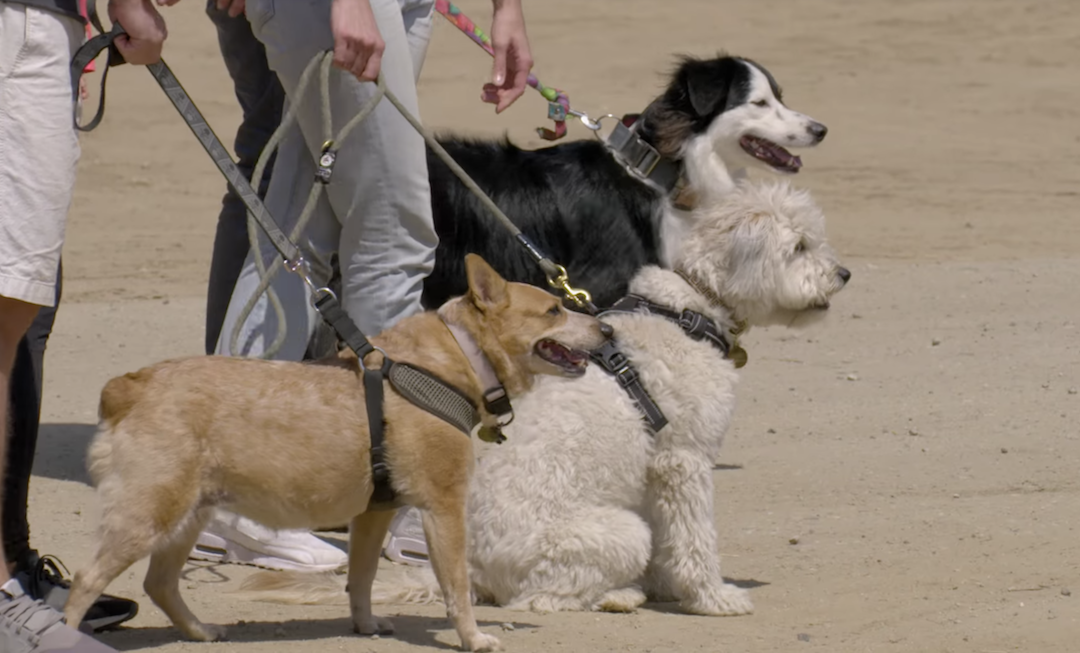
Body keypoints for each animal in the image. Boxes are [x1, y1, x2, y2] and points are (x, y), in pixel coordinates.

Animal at [63, 253, 613, 647]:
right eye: (554, 310)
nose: (607, 327)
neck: (457, 356)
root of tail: (129, 386)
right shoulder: (444, 508)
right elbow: (456, 586)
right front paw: (473, 638)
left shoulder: (374, 513)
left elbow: (361, 577)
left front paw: (364, 623)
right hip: (147, 515)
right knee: (86, 581)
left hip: (186, 516)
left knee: (159, 584)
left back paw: (199, 631)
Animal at [236, 178, 851, 617]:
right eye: (799, 246)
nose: (843, 273)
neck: (689, 308)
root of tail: (475, 571)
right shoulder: (685, 461)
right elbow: (695, 539)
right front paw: (713, 597)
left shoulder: (657, 470)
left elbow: (673, 539)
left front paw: (668, 585)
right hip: (614, 533)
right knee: (539, 599)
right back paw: (617, 594)